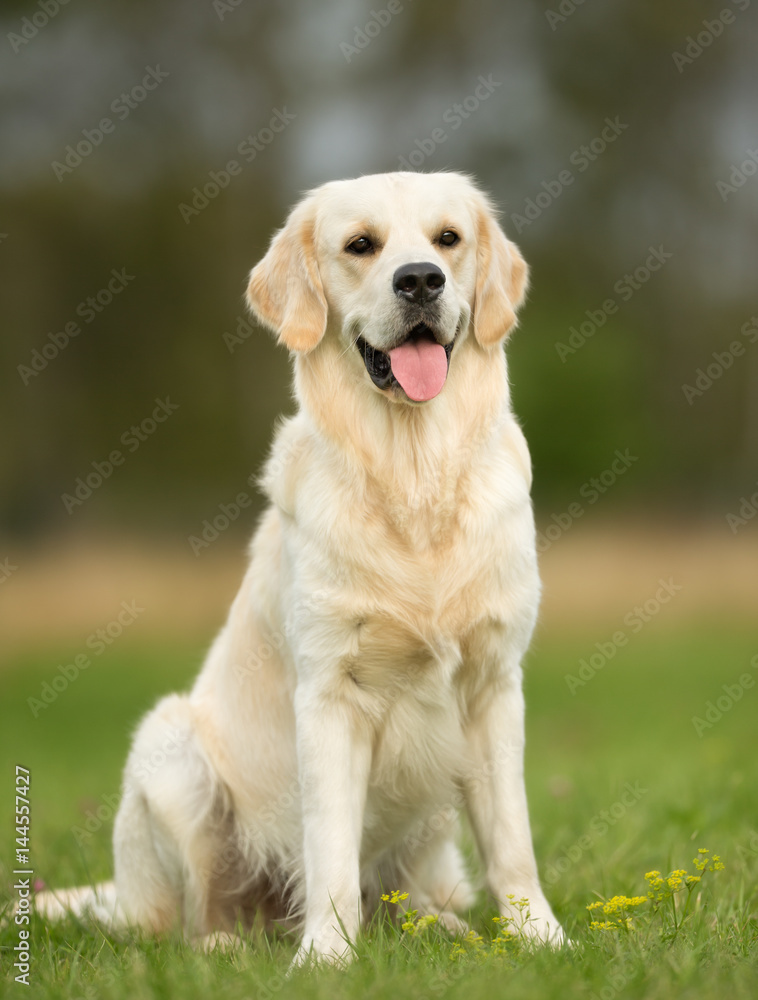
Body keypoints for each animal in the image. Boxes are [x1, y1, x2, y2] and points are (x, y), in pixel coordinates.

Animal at [37, 172, 568, 960]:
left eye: (448, 238)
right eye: (361, 245)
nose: (420, 280)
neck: (413, 475)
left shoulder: (494, 684)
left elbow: (513, 842)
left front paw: (542, 937)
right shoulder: (329, 693)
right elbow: (331, 848)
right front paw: (326, 957)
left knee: (411, 893)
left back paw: (437, 926)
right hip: (172, 756)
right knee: (189, 922)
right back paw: (228, 947)